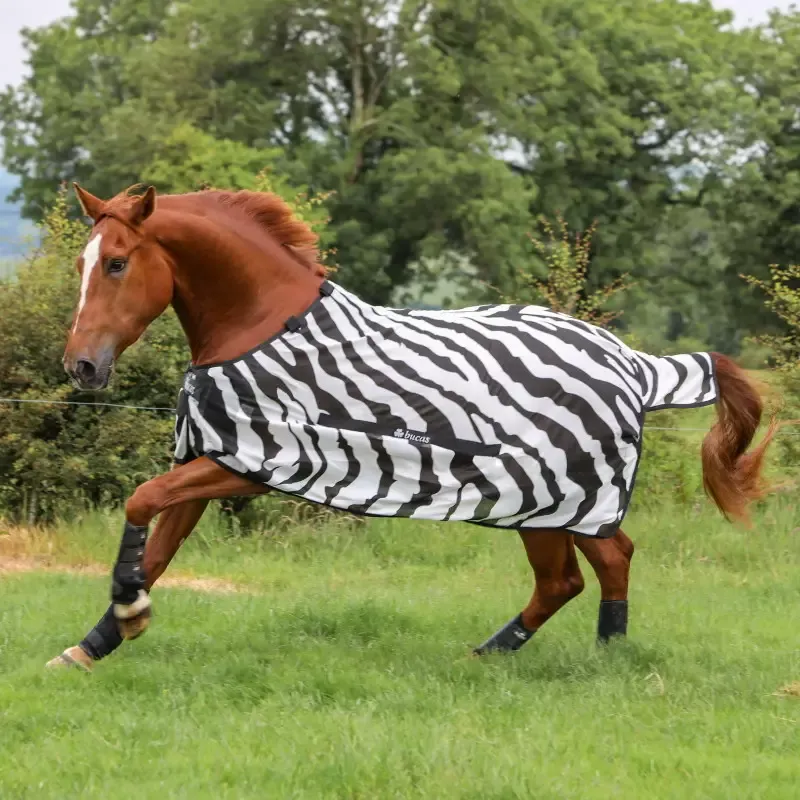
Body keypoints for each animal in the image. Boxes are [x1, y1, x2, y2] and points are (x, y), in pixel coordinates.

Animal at [47, 184, 775, 672]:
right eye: (83, 264)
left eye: (117, 263)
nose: (81, 367)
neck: (257, 324)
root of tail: (634, 363)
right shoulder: (212, 458)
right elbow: (158, 544)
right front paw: (93, 644)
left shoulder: (251, 463)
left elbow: (139, 503)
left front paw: (129, 614)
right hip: (563, 504)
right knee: (598, 564)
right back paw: (571, 651)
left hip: (553, 498)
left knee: (574, 575)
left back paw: (513, 655)